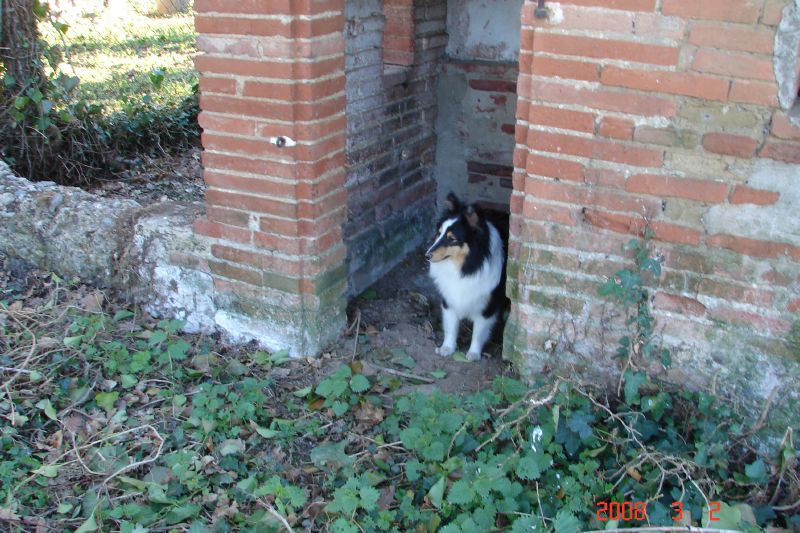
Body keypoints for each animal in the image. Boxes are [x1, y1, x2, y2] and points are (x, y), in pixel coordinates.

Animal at [424, 192, 506, 362]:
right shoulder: (449, 299)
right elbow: (451, 327)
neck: (465, 268)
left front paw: (474, 353)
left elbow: (478, 333)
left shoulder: (487, 308)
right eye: (439, 233)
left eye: (452, 238)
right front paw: (447, 348)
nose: (427, 255)